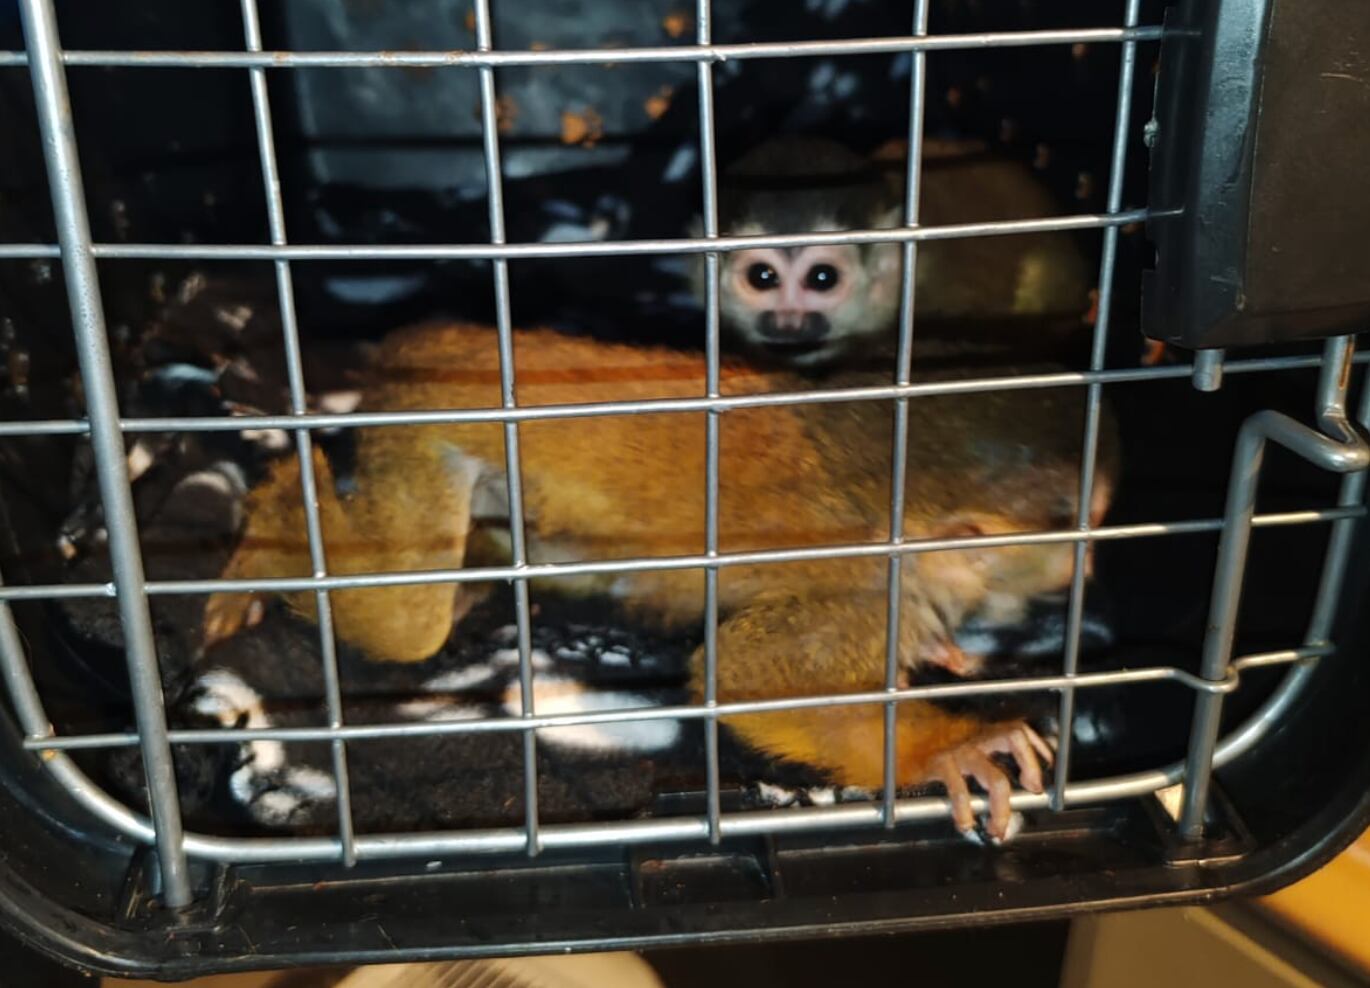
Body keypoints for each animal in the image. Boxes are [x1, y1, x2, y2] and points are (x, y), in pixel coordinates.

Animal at [202, 321, 1118, 839]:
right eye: (1084, 525)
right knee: (405, 622)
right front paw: (945, 747)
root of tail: (430, 347)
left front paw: (938, 653)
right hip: (427, 432)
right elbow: (745, 676)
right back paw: (270, 523)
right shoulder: (862, 587)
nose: (1094, 559)